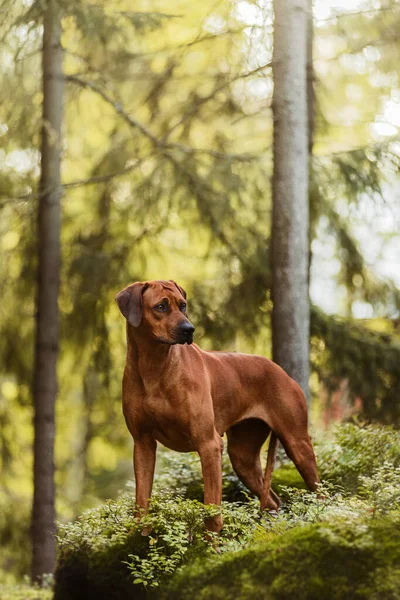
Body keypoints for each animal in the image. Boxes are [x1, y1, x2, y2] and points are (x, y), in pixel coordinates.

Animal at [115, 278, 318, 532]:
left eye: (182, 305)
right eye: (160, 306)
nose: (189, 329)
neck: (154, 366)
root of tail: (282, 371)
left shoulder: (208, 444)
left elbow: (212, 509)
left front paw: (211, 541)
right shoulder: (142, 444)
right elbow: (141, 503)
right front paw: (139, 537)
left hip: (297, 443)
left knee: (322, 493)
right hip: (242, 457)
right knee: (272, 500)